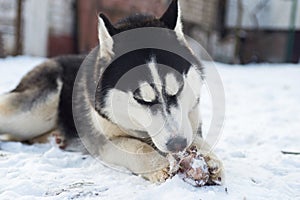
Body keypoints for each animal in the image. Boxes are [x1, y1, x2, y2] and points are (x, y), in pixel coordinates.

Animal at [0, 0, 224, 184]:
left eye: (177, 90)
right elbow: (138, 147)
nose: (177, 144)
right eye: (141, 99)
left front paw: (210, 158)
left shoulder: (189, 122)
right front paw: (157, 166)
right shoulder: (104, 141)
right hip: (35, 113)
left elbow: (197, 138)